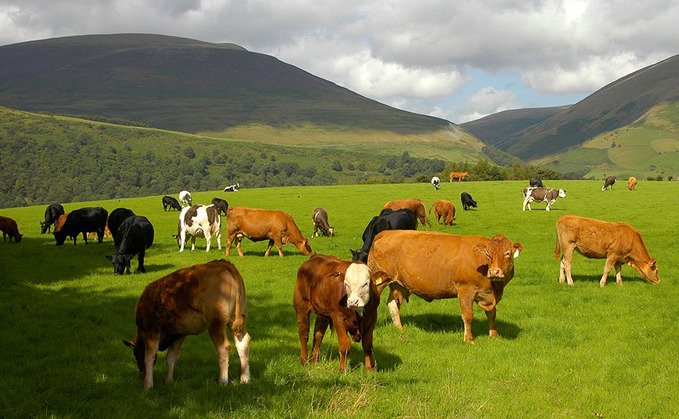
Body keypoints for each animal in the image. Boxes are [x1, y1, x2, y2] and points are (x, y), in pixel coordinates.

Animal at [123, 260, 251, 390]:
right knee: (243, 343)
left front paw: (148, 385)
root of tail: (221, 263)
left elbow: (149, 356)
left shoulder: (152, 329)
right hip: (235, 320)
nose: (141, 374)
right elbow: (171, 357)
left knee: (224, 347)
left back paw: (222, 381)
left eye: (135, 354)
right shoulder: (179, 334)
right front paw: (168, 380)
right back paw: (245, 379)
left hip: (216, 322)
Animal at [370, 230, 524, 344]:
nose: (494, 272)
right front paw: (469, 339)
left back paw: (399, 328)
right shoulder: (465, 290)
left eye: (508, 253)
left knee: (392, 304)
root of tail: (387, 233)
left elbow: (491, 314)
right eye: (488, 254)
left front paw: (494, 335)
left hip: (397, 284)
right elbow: (468, 315)